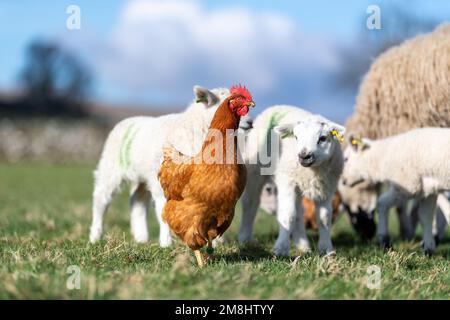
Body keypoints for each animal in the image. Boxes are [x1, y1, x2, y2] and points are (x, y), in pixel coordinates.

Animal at [88, 85, 230, 245]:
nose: (245, 124)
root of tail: (128, 120)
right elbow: (165, 208)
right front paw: (167, 243)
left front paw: (215, 241)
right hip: (111, 167)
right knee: (101, 198)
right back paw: (95, 236)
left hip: (143, 175)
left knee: (137, 200)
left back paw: (141, 237)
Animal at [239, 106, 344, 256]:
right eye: (296, 137)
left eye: (323, 138)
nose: (304, 156)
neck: (311, 172)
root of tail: (276, 106)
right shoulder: (287, 181)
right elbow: (287, 215)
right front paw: (281, 248)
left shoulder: (326, 187)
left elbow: (324, 218)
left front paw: (326, 249)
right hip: (255, 170)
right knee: (250, 203)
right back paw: (245, 238)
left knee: (299, 212)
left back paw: (303, 245)